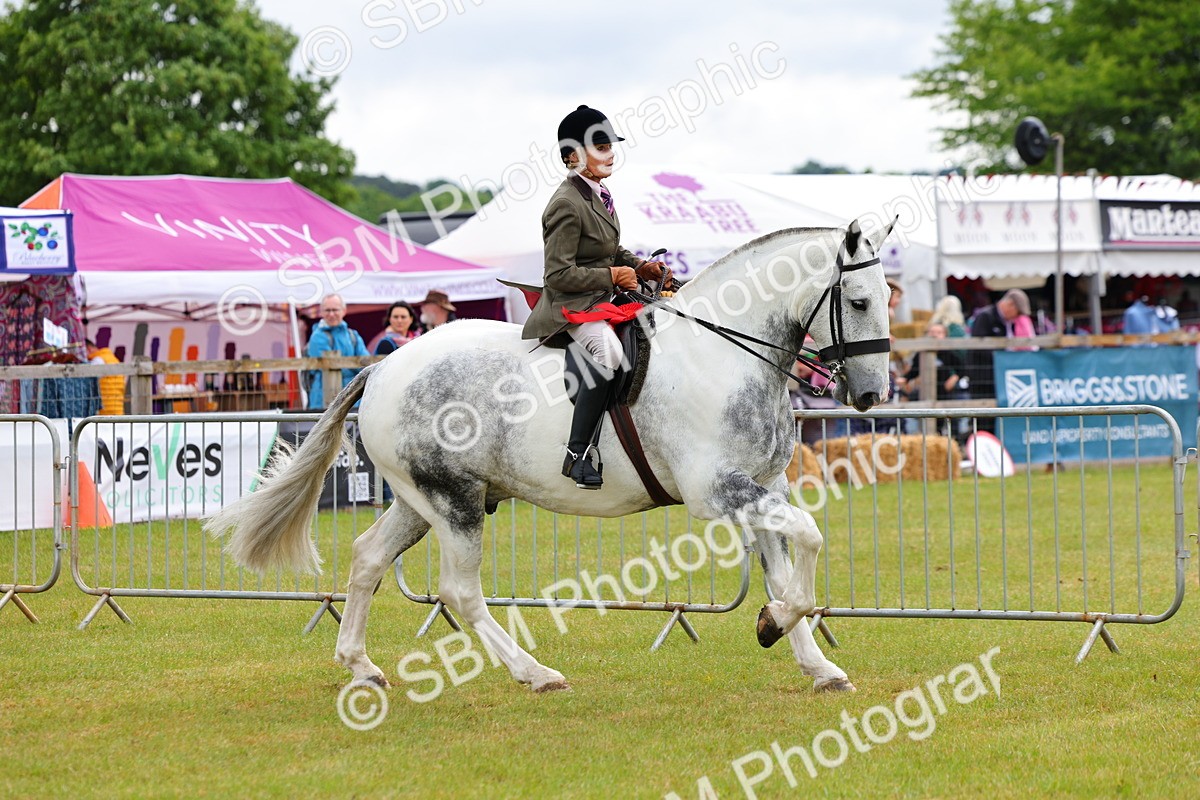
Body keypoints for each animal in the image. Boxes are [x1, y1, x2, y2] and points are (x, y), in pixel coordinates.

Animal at [205, 217, 896, 693]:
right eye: (859, 301)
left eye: (888, 295)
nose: (870, 396)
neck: (723, 351)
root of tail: (383, 367)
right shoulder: (718, 491)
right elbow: (809, 538)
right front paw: (774, 625)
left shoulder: (765, 487)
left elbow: (788, 565)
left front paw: (808, 655)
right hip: (453, 504)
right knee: (460, 592)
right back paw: (535, 673)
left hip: (421, 498)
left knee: (368, 557)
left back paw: (361, 666)